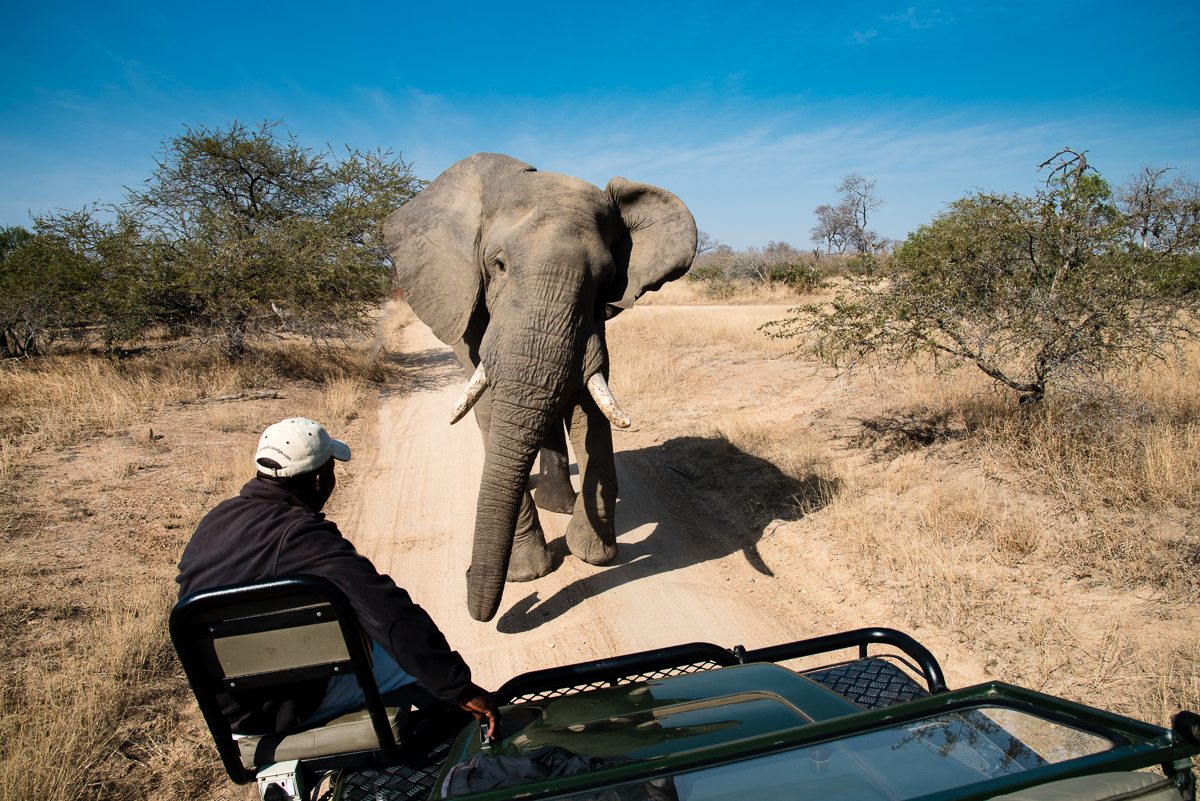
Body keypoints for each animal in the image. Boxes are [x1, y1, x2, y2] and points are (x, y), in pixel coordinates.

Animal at [384, 153, 696, 622]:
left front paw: (594, 556)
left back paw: (560, 506)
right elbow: (489, 404)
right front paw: (529, 574)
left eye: (606, 279)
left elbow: (589, 398)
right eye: (497, 265)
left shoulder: (593, 317)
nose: (470, 581)